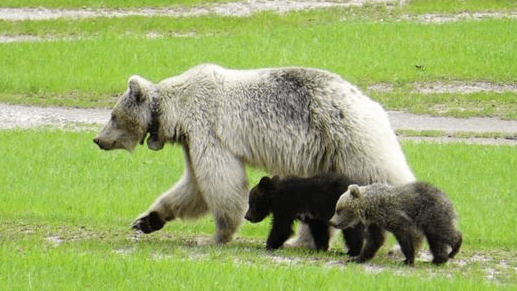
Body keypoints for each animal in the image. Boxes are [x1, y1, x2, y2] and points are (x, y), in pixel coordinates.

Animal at [93, 63, 416, 246]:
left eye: (112, 115)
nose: (97, 140)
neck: (176, 110)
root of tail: (371, 103)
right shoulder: (190, 140)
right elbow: (193, 186)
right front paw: (146, 220)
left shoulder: (207, 130)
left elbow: (220, 182)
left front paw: (215, 236)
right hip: (325, 155)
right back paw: (304, 241)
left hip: (350, 139)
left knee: (384, 174)